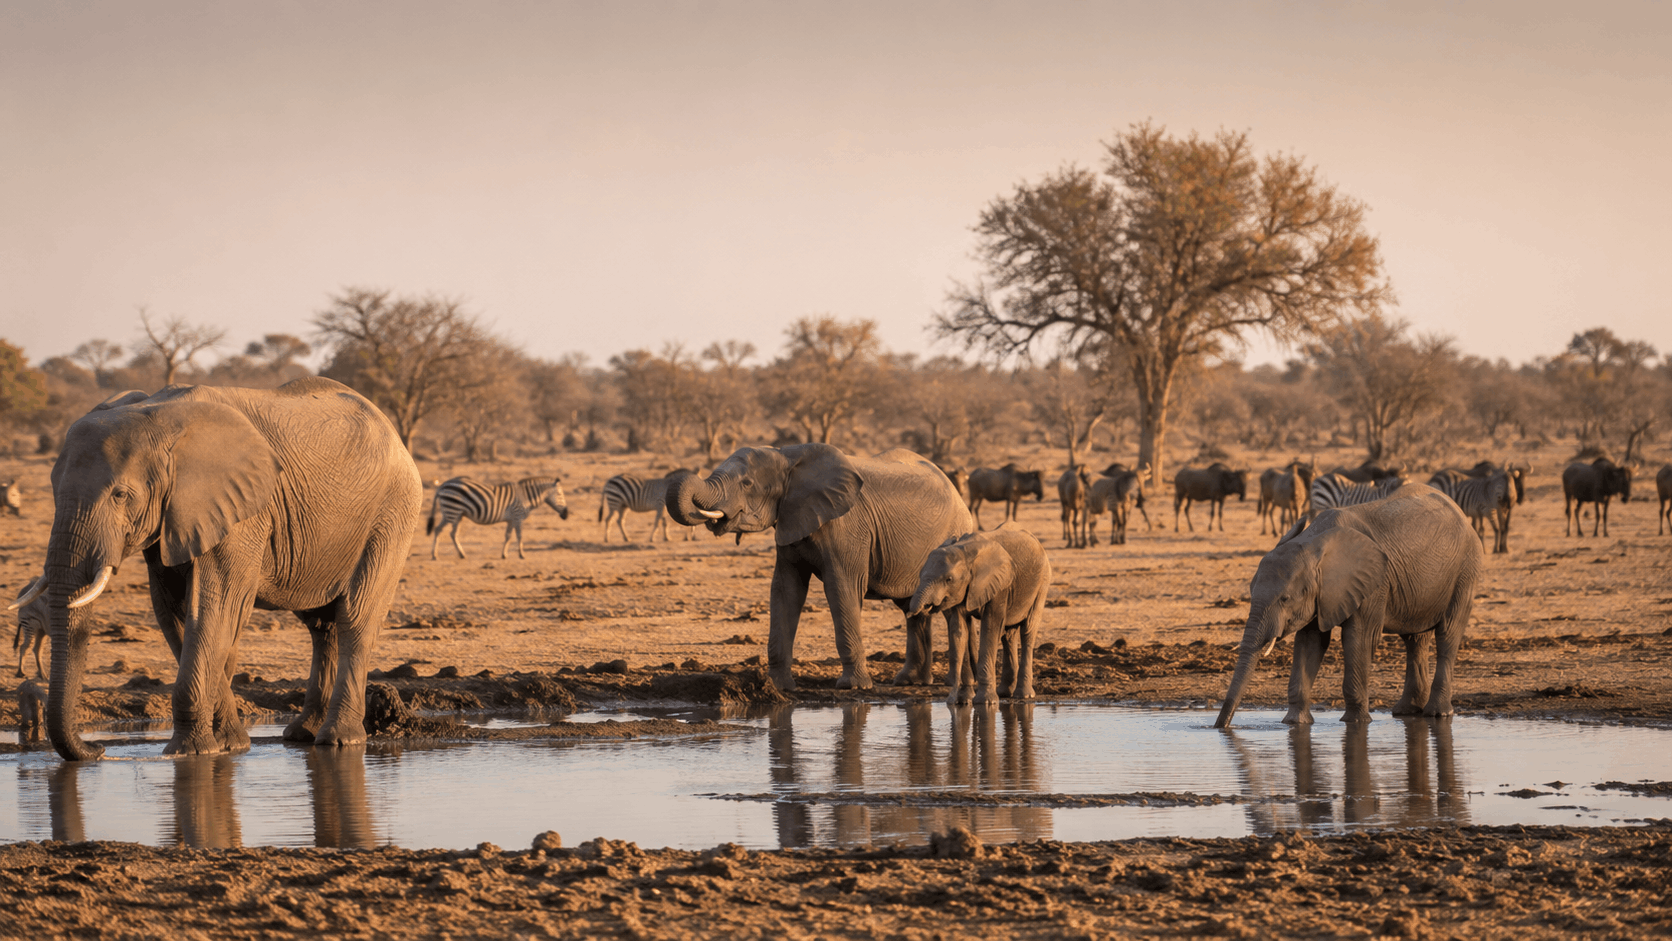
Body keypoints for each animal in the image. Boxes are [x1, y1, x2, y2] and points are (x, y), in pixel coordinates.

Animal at [9, 377, 421, 760]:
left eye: (120, 495)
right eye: (53, 491)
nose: (98, 750)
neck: (160, 416)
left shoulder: (242, 515)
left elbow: (211, 609)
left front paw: (188, 753)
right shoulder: (173, 519)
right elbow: (177, 613)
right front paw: (230, 745)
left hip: (393, 513)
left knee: (355, 617)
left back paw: (338, 741)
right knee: (321, 626)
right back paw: (302, 734)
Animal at [665, 443, 974, 691]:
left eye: (747, 483)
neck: (787, 456)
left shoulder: (847, 528)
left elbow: (842, 588)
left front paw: (853, 687)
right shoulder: (789, 520)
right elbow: (785, 590)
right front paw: (778, 687)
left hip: (953, 538)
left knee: (947, 610)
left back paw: (950, 683)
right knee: (914, 610)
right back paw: (910, 682)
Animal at [908, 525, 1050, 705]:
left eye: (949, 579)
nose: (950, 700)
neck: (964, 550)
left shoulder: (1000, 585)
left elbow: (989, 629)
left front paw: (986, 702)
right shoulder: (962, 592)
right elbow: (960, 631)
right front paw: (963, 700)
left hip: (1042, 582)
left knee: (1027, 631)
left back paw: (1024, 695)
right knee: (1008, 635)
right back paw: (1005, 692)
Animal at [1214, 483, 1482, 728]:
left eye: (1285, 599)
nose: (1220, 727)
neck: (1314, 543)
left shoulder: (1373, 584)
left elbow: (1359, 639)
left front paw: (1356, 723)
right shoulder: (1319, 595)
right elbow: (1310, 642)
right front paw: (1294, 723)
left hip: (1465, 570)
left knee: (1448, 634)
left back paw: (1438, 714)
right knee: (1415, 640)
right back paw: (1406, 712)